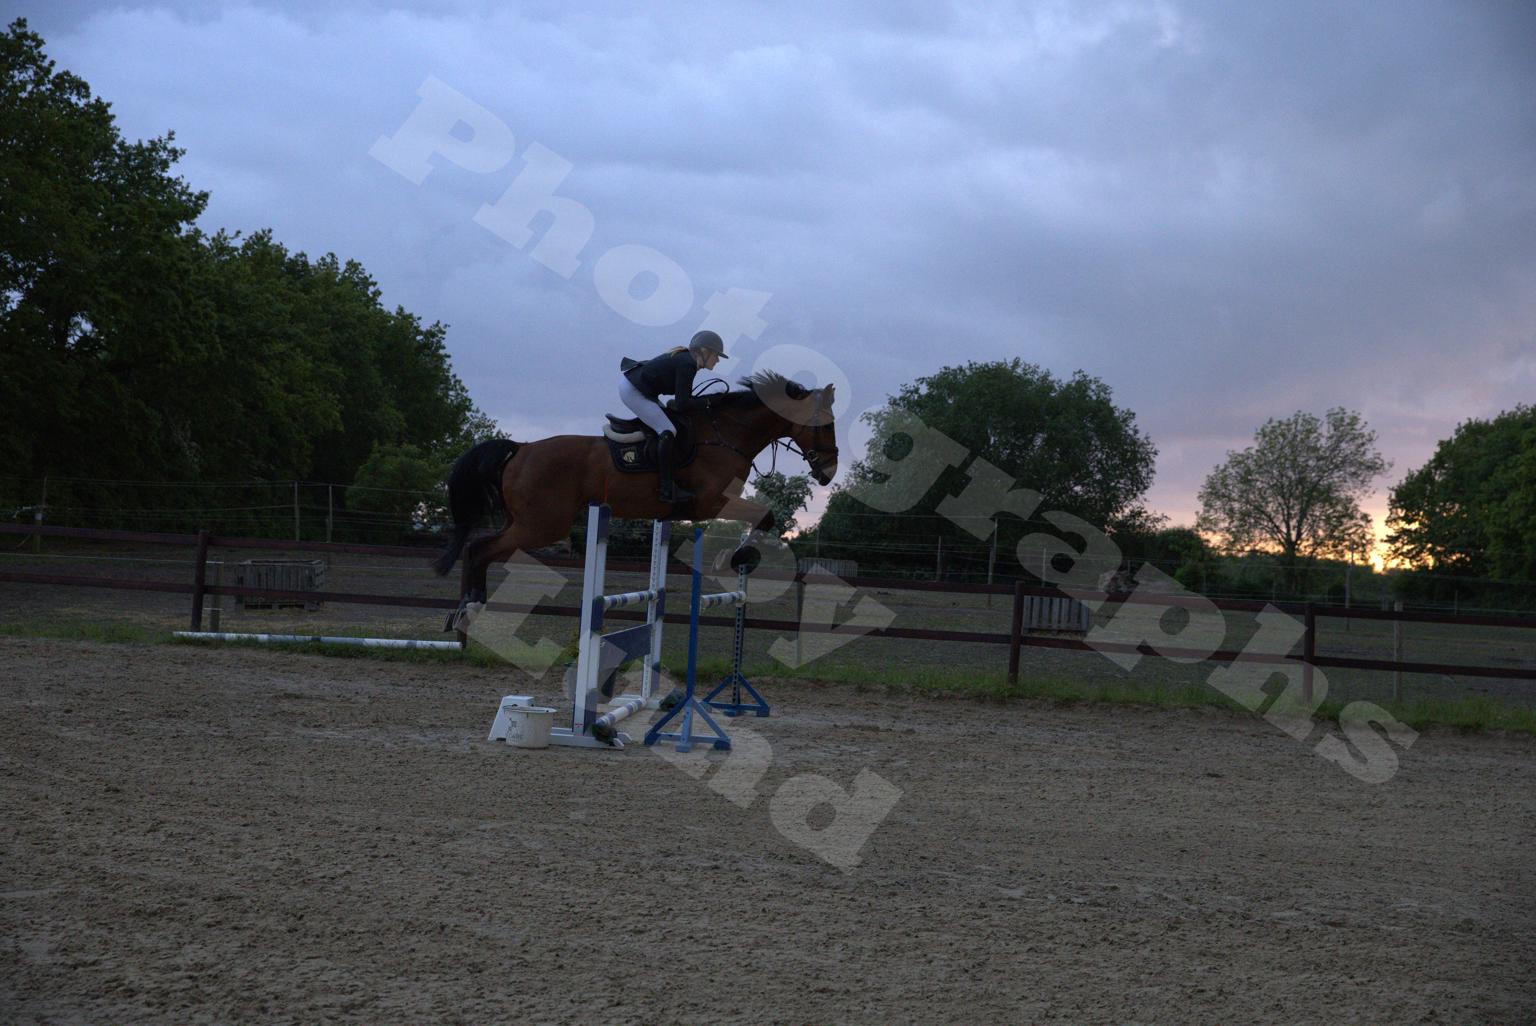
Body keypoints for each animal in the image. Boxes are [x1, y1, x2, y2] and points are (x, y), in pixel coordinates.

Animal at [433, 370, 839, 635]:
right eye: (824, 424)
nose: (829, 472)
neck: (727, 434)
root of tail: (521, 448)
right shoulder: (710, 503)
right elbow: (766, 516)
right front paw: (739, 556)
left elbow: (763, 517)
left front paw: (738, 555)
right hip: (542, 525)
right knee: (480, 549)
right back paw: (469, 609)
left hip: (525, 522)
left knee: (477, 547)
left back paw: (463, 613)